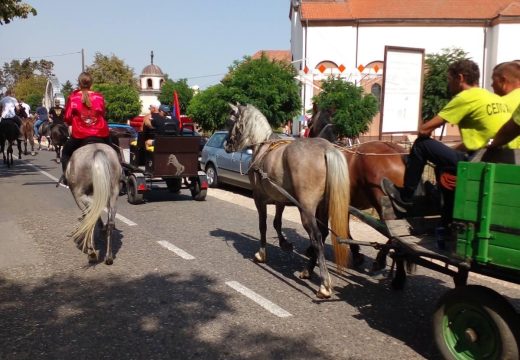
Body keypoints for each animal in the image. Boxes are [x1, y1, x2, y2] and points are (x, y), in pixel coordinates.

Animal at [226, 103, 352, 298]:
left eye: (230, 121)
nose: (226, 144)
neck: (262, 147)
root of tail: (327, 149)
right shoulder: (280, 200)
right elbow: (277, 222)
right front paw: (284, 243)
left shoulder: (258, 198)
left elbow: (263, 225)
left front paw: (261, 254)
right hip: (322, 206)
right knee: (323, 233)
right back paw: (308, 270)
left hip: (306, 209)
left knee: (316, 237)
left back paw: (324, 284)